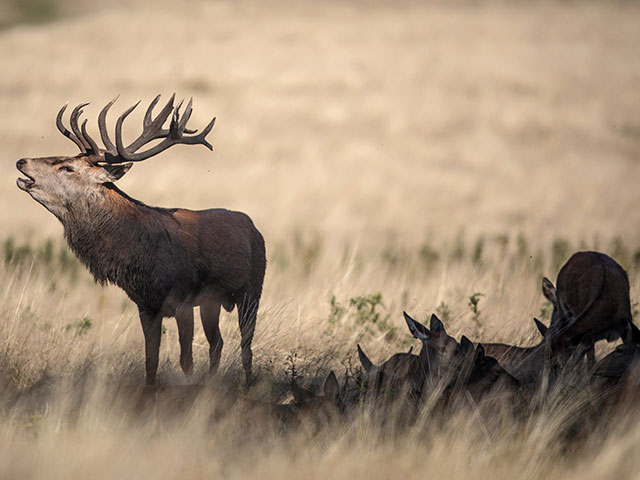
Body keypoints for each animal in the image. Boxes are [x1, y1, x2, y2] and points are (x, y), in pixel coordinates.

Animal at [15, 95, 264, 384]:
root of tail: (254, 228)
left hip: (252, 289)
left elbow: (186, 360)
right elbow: (150, 361)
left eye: (67, 167)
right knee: (218, 343)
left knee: (245, 345)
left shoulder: (183, 299)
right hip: (211, 302)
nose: (21, 161)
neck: (143, 257)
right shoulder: (146, 306)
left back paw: (247, 384)